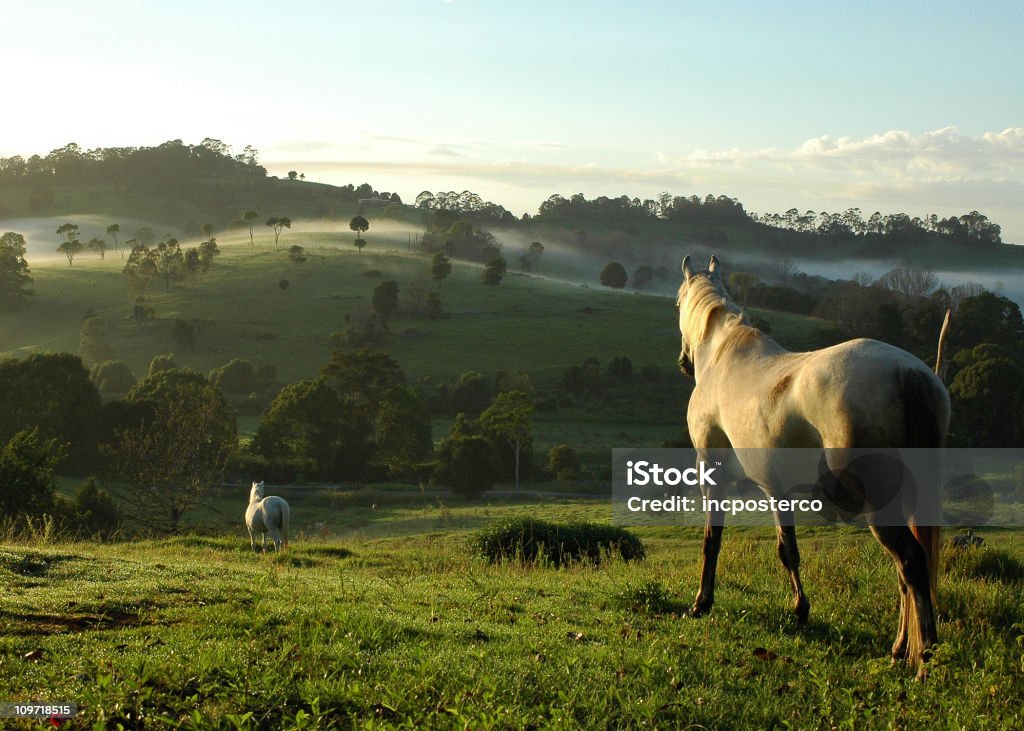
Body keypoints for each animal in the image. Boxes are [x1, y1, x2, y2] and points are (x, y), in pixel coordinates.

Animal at [675, 253, 946, 675]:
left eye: (677, 302)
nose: (684, 362)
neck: (724, 358)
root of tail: (908, 372)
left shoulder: (713, 478)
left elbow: (711, 543)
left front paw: (701, 603)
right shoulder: (776, 489)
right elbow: (788, 550)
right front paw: (800, 610)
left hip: (881, 509)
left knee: (912, 563)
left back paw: (924, 655)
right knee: (908, 571)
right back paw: (901, 647)